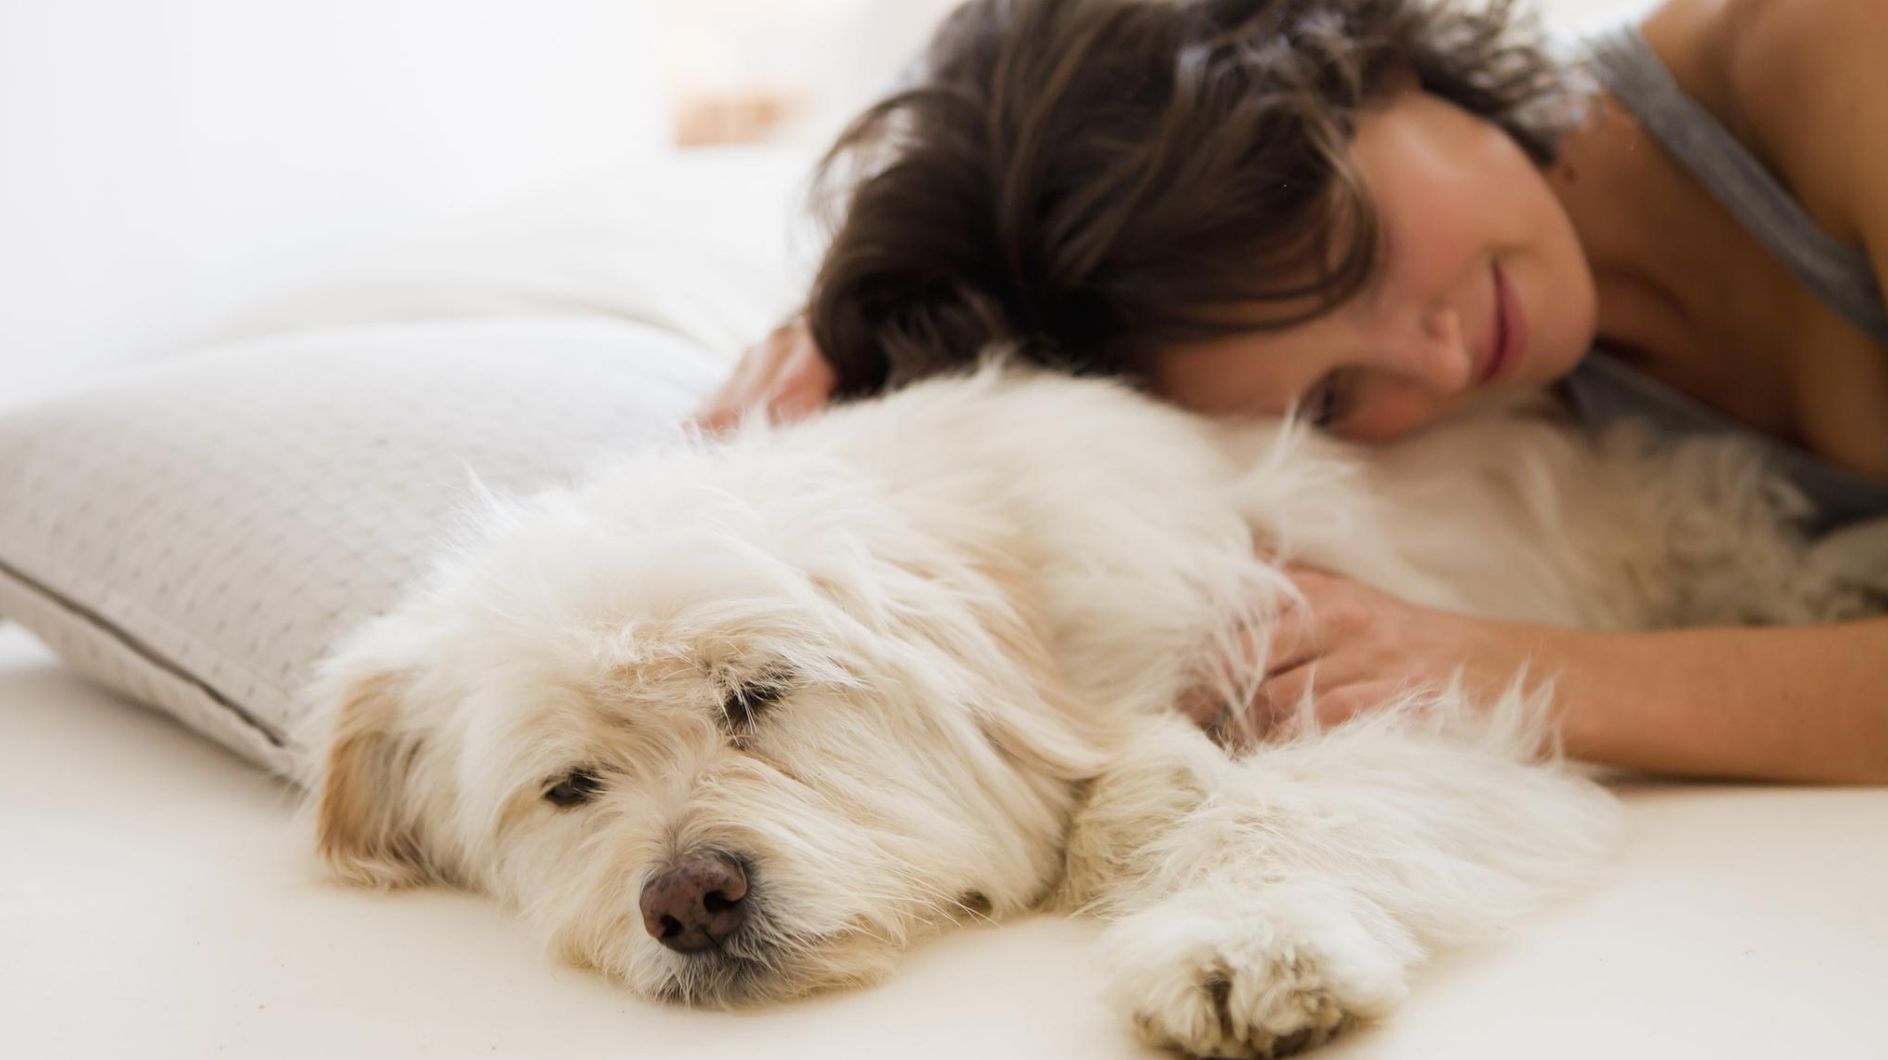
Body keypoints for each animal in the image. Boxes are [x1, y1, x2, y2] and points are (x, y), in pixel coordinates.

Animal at [313, 360, 1872, 1050]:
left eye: (757, 693)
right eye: (568, 789)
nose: (687, 898)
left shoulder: (1396, 686)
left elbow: (1283, 808)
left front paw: (1246, 938)